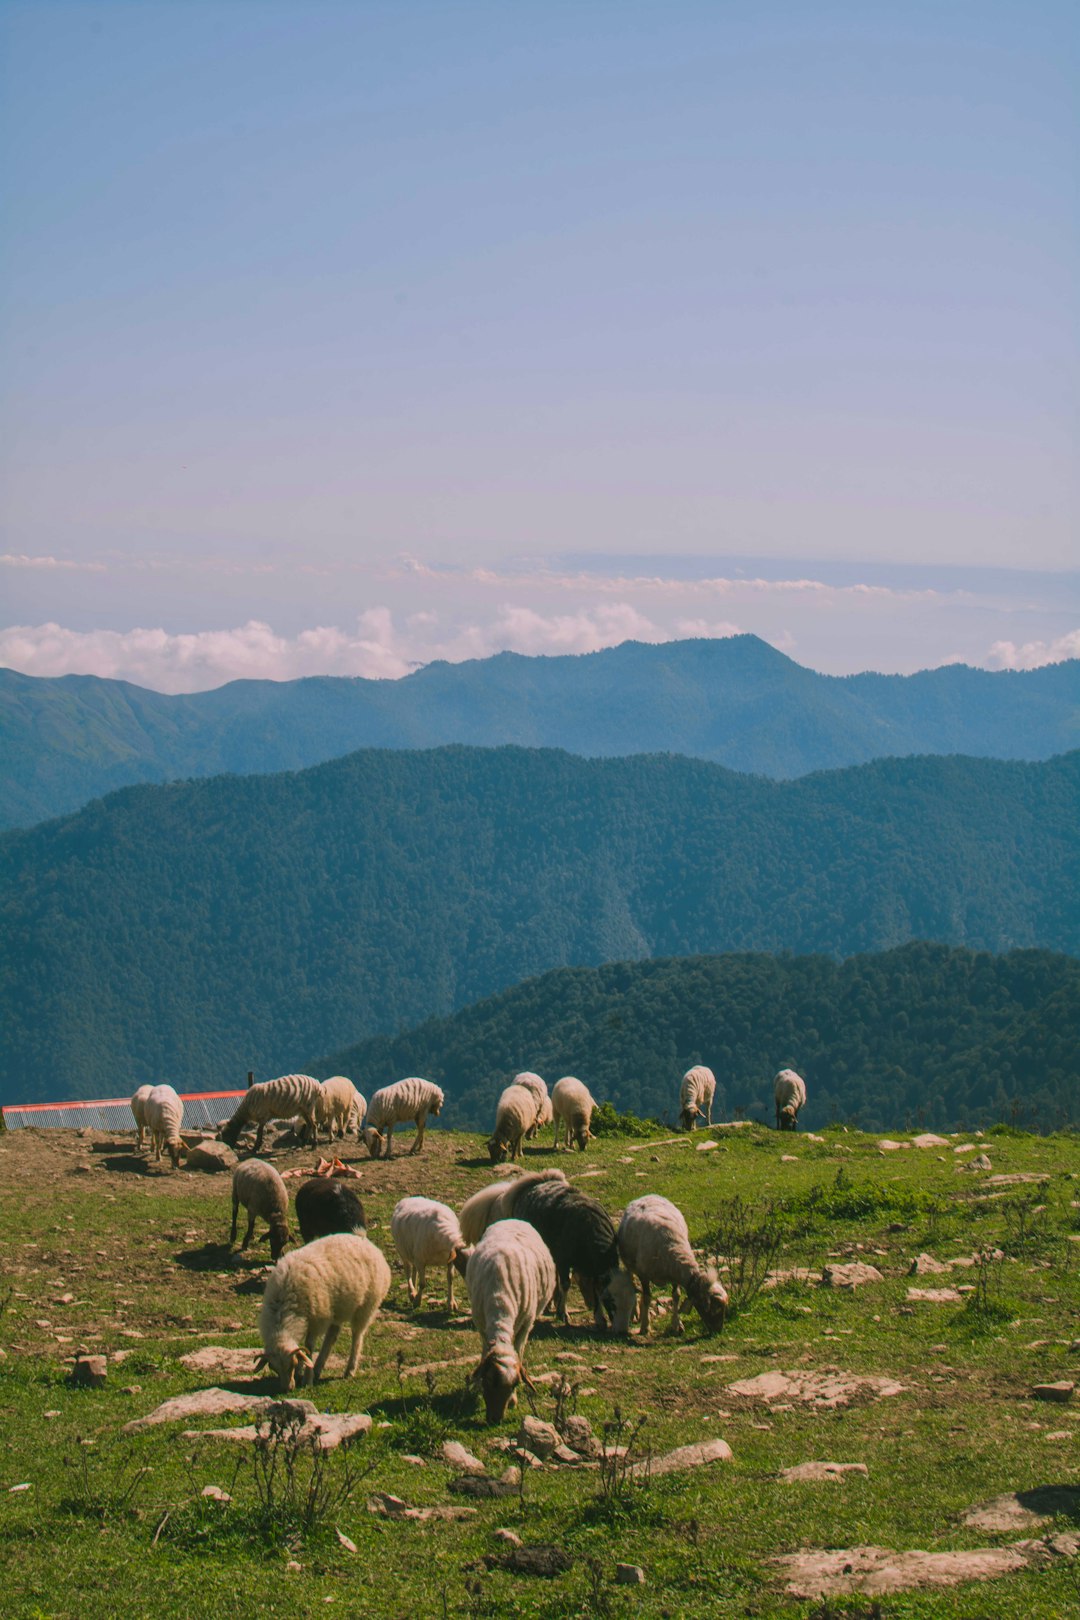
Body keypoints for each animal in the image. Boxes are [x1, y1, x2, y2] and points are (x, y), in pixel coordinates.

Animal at [255, 1224, 390, 1393]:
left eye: (291, 1364)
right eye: (273, 1368)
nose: (287, 1389)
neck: (283, 1309)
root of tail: (362, 1238)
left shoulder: (316, 1320)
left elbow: (308, 1347)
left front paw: (306, 1378)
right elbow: (305, 1351)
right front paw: (303, 1371)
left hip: (367, 1306)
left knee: (357, 1336)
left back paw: (350, 1370)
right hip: (338, 1307)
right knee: (333, 1334)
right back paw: (319, 1367)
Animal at [469, 1218, 563, 1425]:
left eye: (514, 1385)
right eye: (488, 1381)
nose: (494, 1420)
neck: (500, 1300)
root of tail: (512, 1219)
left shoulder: (526, 1325)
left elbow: (518, 1351)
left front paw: (513, 1401)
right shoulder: (481, 1325)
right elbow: (484, 1351)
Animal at [505, 1172, 634, 1334]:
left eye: (632, 1303)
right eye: (611, 1302)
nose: (622, 1332)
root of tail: (538, 1182)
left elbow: (595, 1288)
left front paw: (599, 1319)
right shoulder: (563, 1260)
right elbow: (566, 1284)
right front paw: (563, 1314)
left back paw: (551, 1304)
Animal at [615, 1198, 725, 1334]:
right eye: (715, 1307)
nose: (718, 1330)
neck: (673, 1247)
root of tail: (646, 1196)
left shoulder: (675, 1275)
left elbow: (676, 1295)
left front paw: (677, 1324)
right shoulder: (644, 1275)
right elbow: (647, 1297)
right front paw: (645, 1326)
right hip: (629, 1263)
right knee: (632, 1282)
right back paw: (635, 1313)